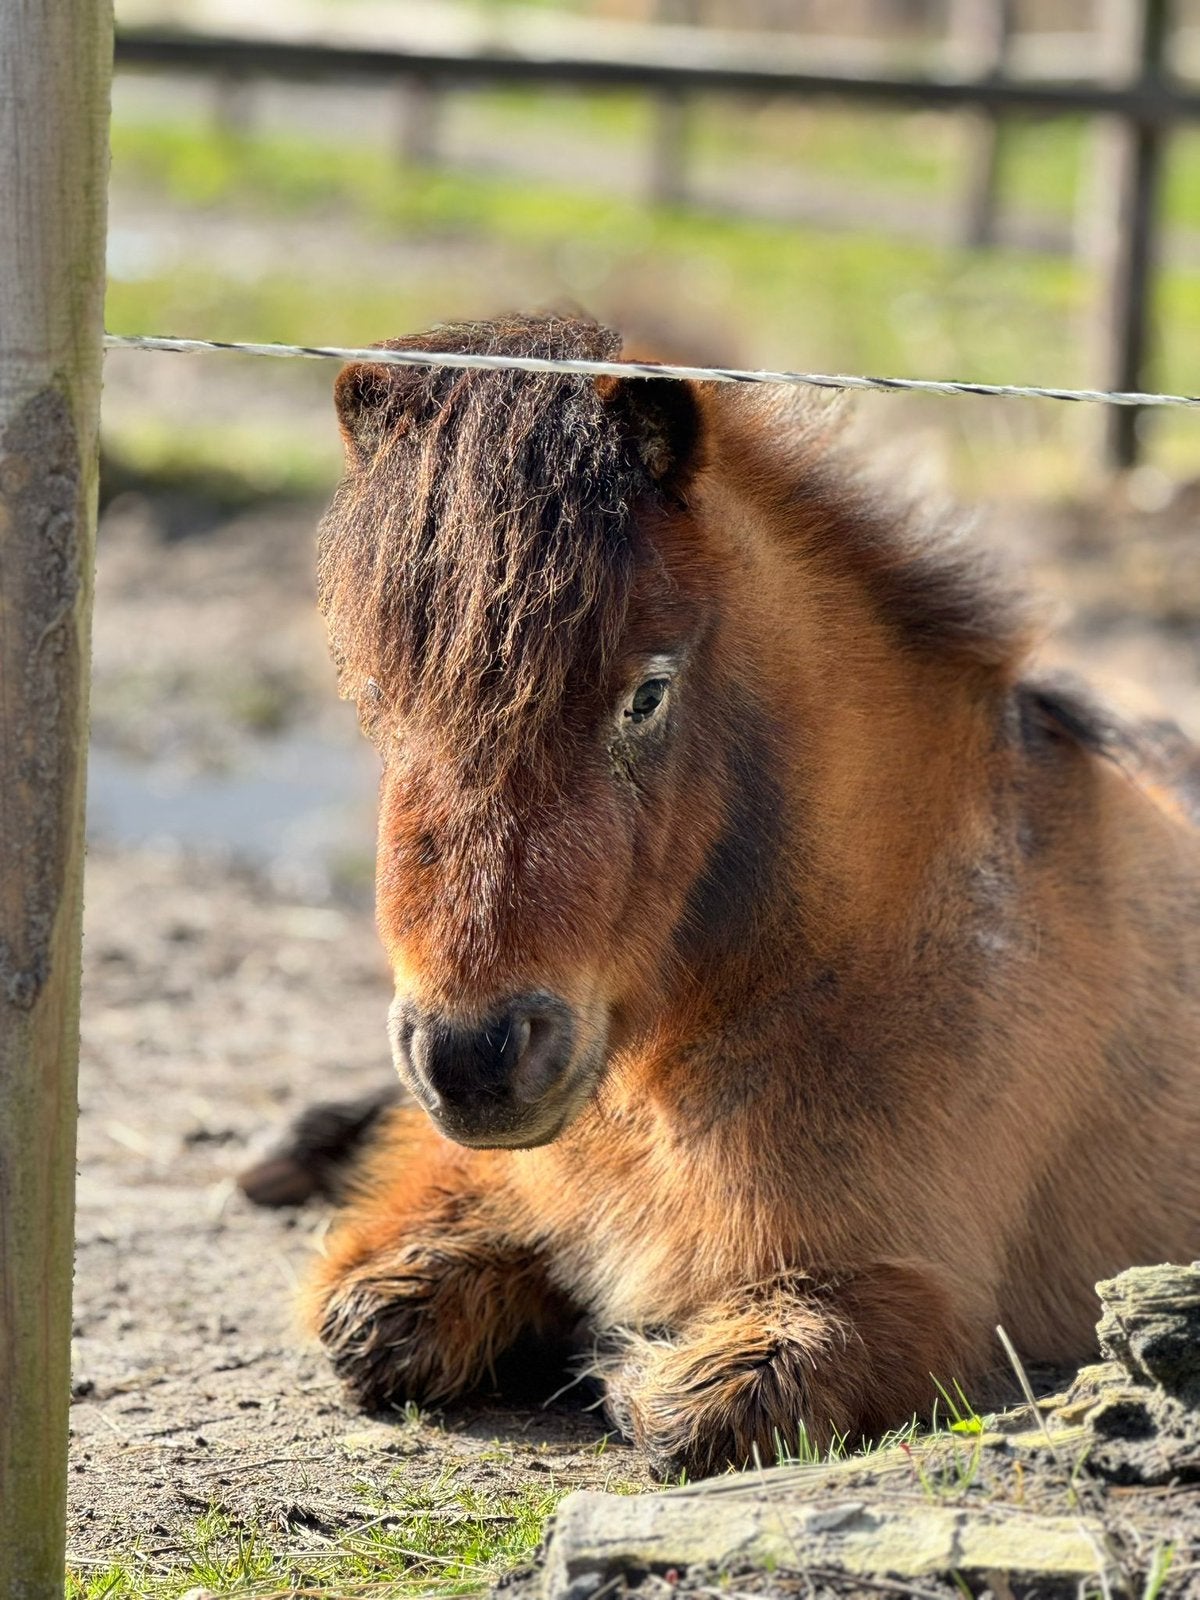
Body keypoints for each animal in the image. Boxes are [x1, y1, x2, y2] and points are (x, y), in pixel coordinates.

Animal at [295, 314, 1199, 1479]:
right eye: (377, 697)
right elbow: (372, 1308)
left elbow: (687, 1404)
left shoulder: (902, 1297)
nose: (472, 1058)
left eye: (647, 692)